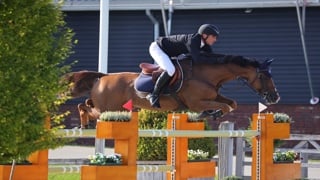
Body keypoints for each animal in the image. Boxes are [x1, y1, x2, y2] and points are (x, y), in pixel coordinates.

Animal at [67, 53, 280, 128]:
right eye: (265, 76)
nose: (275, 97)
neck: (205, 75)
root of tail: (102, 77)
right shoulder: (195, 102)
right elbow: (224, 107)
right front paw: (209, 113)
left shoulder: (215, 95)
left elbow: (232, 103)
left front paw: (212, 113)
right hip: (108, 109)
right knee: (85, 107)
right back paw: (84, 123)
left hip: (113, 108)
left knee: (86, 103)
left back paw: (85, 123)